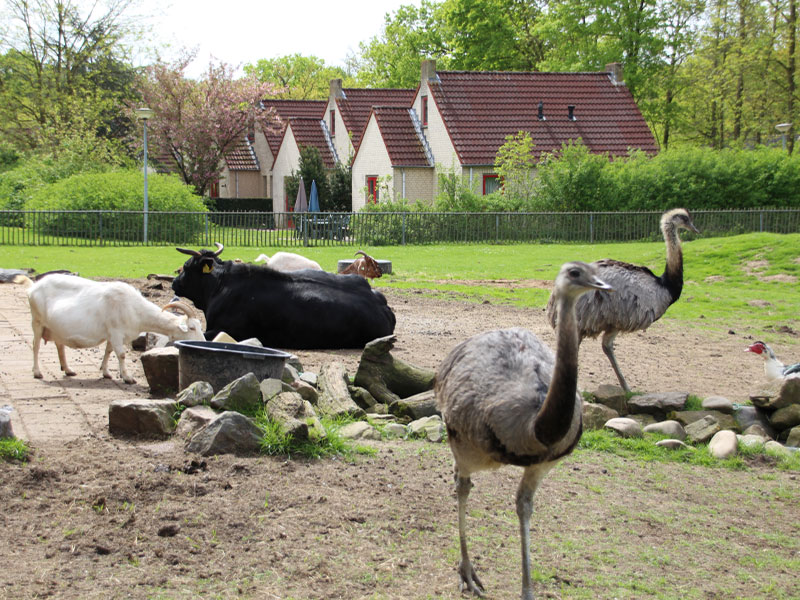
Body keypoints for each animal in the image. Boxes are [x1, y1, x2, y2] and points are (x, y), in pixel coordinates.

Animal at [14, 274, 204, 383]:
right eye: (192, 327)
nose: (203, 342)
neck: (134, 308)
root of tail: (33, 287)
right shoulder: (116, 331)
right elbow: (121, 354)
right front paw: (128, 378)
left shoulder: (113, 334)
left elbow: (108, 351)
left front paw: (106, 373)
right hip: (37, 321)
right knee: (35, 345)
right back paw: (37, 372)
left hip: (56, 327)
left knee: (59, 345)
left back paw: (68, 370)